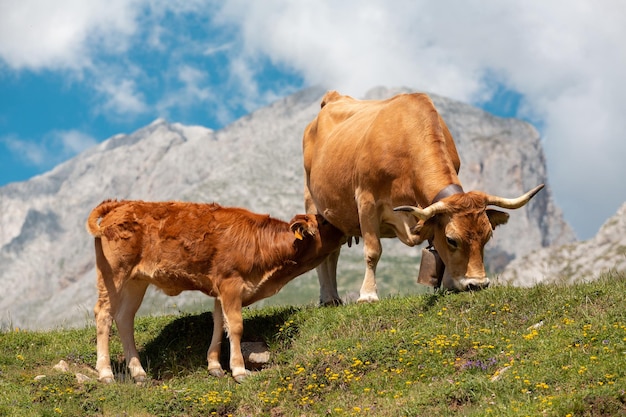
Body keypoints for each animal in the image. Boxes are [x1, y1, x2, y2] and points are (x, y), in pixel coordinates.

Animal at [85, 200, 344, 382]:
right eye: (324, 223)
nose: (346, 229)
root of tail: (120, 204)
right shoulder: (231, 284)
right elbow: (236, 326)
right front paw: (239, 370)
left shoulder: (222, 289)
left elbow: (220, 324)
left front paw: (214, 366)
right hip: (114, 275)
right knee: (104, 314)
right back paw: (106, 373)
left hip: (136, 281)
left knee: (124, 317)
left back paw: (138, 372)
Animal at [302, 91, 540, 304]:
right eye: (452, 240)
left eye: (488, 236)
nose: (477, 284)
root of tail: (334, 97)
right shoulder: (366, 201)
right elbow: (373, 251)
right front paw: (368, 295)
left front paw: (450, 284)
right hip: (314, 205)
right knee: (326, 254)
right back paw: (329, 298)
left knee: (333, 252)